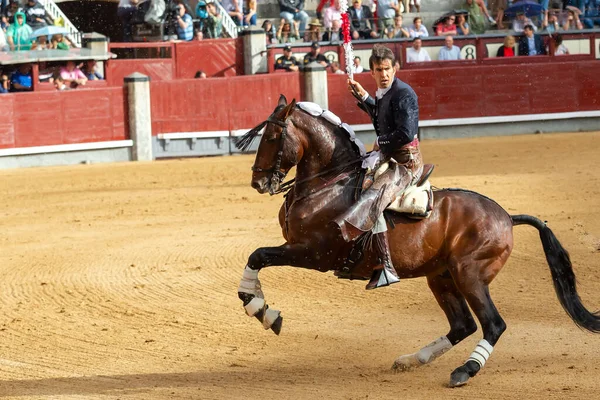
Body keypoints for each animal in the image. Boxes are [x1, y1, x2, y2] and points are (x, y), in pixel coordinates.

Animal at [236, 96, 600, 388]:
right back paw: (412, 359)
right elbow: (256, 259)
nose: (257, 182)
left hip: (469, 274)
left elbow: (258, 255)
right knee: (463, 324)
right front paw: (261, 307)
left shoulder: (314, 253)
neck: (329, 183)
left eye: (272, 136)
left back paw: (464, 371)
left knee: (493, 324)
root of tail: (507, 217)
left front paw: (263, 311)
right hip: (440, 277)